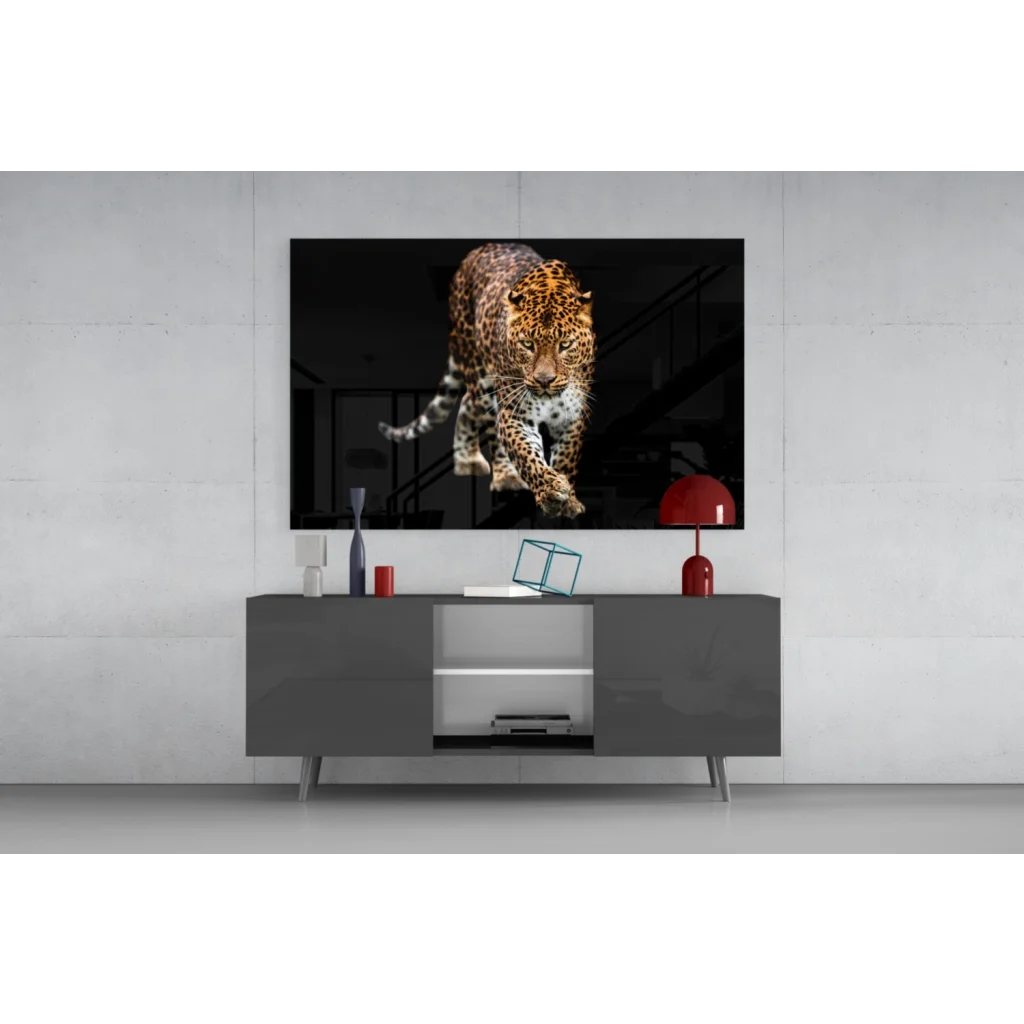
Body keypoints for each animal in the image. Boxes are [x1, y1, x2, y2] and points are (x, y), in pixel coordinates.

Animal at [378, 242, 595, 519]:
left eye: (565, 345)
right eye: (528, 344)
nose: (544, 380)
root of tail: (480, 249)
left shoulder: (572, 415)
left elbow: (567, 457)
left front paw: (568, 500)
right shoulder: (515, 413)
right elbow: (527, 455)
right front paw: (550, 489)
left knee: (467, 403)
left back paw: (467, 460)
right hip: (482, 377)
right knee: (488, 423)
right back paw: (505, 477)